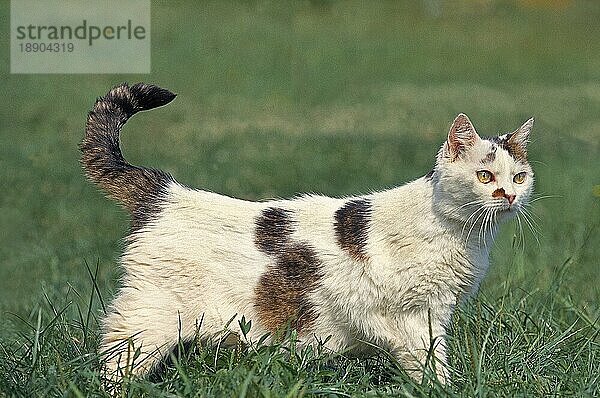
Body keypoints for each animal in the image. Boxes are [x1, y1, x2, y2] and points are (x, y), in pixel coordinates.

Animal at [79, 82, 536, 384]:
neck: (465, 234)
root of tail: (164, 190)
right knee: (116, 359)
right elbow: (429, 365)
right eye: (484, 175)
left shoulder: (435, 310)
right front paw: (439, 389)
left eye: (519, 176)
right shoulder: (410, 317)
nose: (508, 195)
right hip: (151, 317)